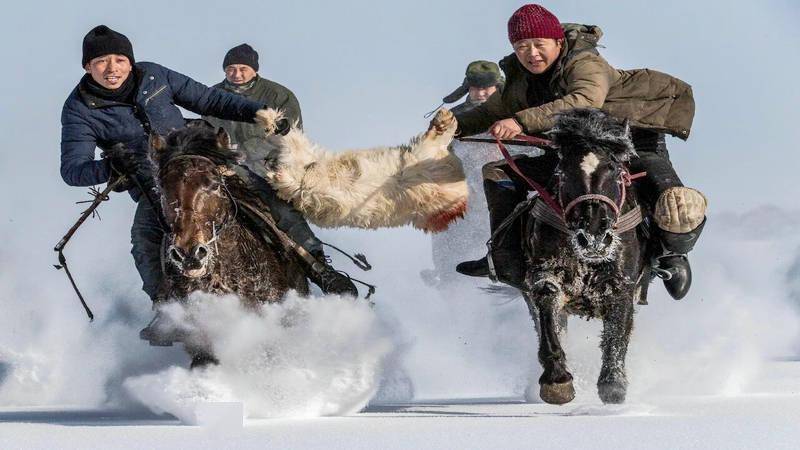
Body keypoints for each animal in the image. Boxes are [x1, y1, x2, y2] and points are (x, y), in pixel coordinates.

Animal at [524, 109, 648, 404]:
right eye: (562, 171)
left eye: (615, 169)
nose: (593, 237)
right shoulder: (545, 274)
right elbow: (547, 306)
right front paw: (557, 380)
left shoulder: (622, 285)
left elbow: (617, 332)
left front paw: (613, 383)